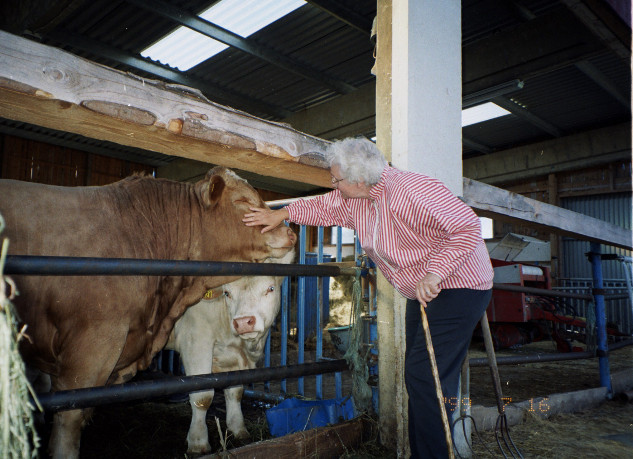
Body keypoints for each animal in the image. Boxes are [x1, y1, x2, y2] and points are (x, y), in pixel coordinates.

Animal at [163, 250, 292, 454]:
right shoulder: (196, 342)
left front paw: (238, 429)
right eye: (227, 293)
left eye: (270, 288)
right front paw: (198, 442)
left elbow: (236, 391)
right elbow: (202, 396)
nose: (243, 322)